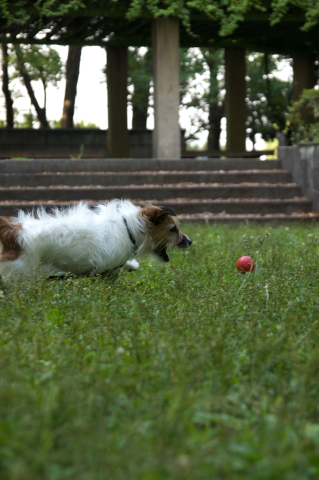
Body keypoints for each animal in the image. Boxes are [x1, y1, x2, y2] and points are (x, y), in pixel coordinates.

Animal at [0, 199, 192, 282]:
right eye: (173, 229)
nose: (190, 241)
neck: (129, 229)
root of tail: (12, 231)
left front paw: (131, 265)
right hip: (20, 272)